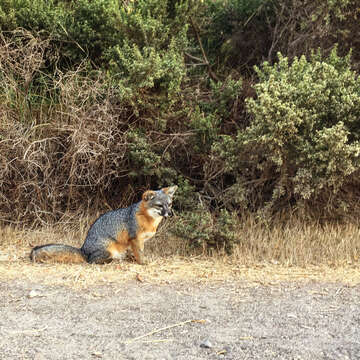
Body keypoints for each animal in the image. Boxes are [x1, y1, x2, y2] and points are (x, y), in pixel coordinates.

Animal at [30, 186, 178, 264]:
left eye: (169, 204)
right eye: (160, 206)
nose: (170, 213)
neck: (147, 219)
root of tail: (83, 249)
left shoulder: (139, 241)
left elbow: (139, 252)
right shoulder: (135, 239)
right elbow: (140, 254)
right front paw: (143, 263)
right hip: (108, 249)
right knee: (92, 261)